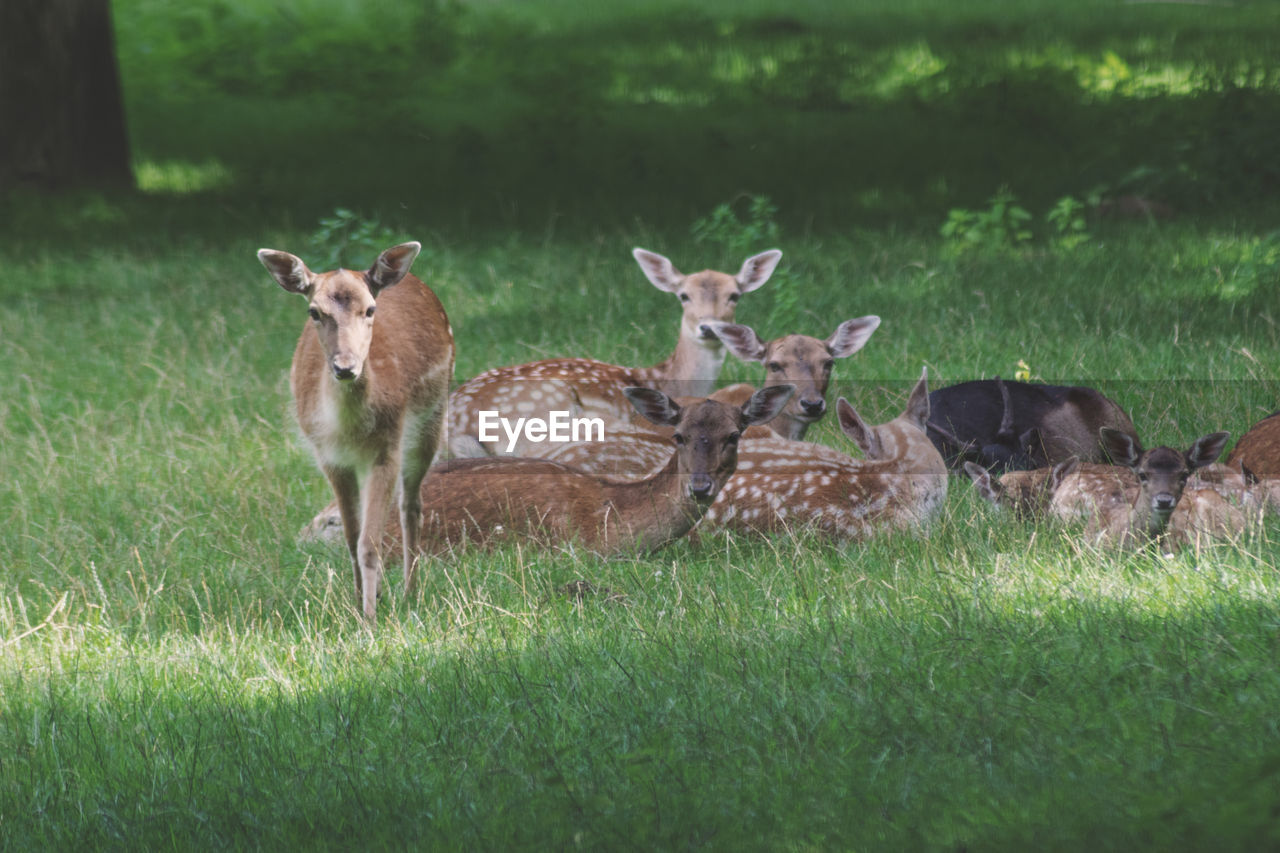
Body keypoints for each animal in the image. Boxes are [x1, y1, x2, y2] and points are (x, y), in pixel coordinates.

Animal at [256, 240, 455, 617]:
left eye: (370, 309)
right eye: (314, 312)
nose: (345, 367)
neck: (348, 427)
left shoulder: (387, 448)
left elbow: (370, 542)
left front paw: (369, 619)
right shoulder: (329, 457)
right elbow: (351, 537)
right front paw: (358, 603)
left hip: (430, 422)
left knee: (411, 506)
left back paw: (410, 595)